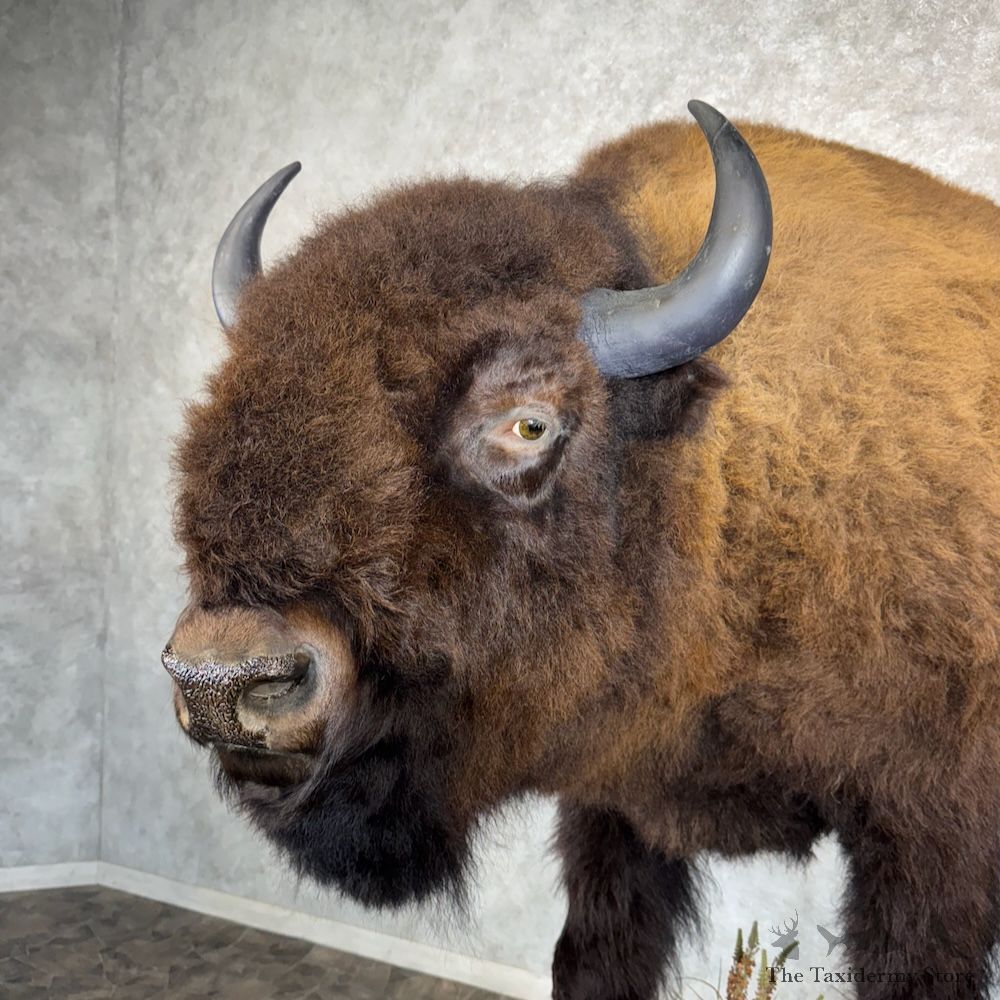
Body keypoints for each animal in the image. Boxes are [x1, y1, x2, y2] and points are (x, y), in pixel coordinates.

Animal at [163, 101, 1000, 999]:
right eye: (231, 400)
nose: (220, 680)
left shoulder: (929, 829)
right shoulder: (610, 809)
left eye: (529, 422)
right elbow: (596, 951)